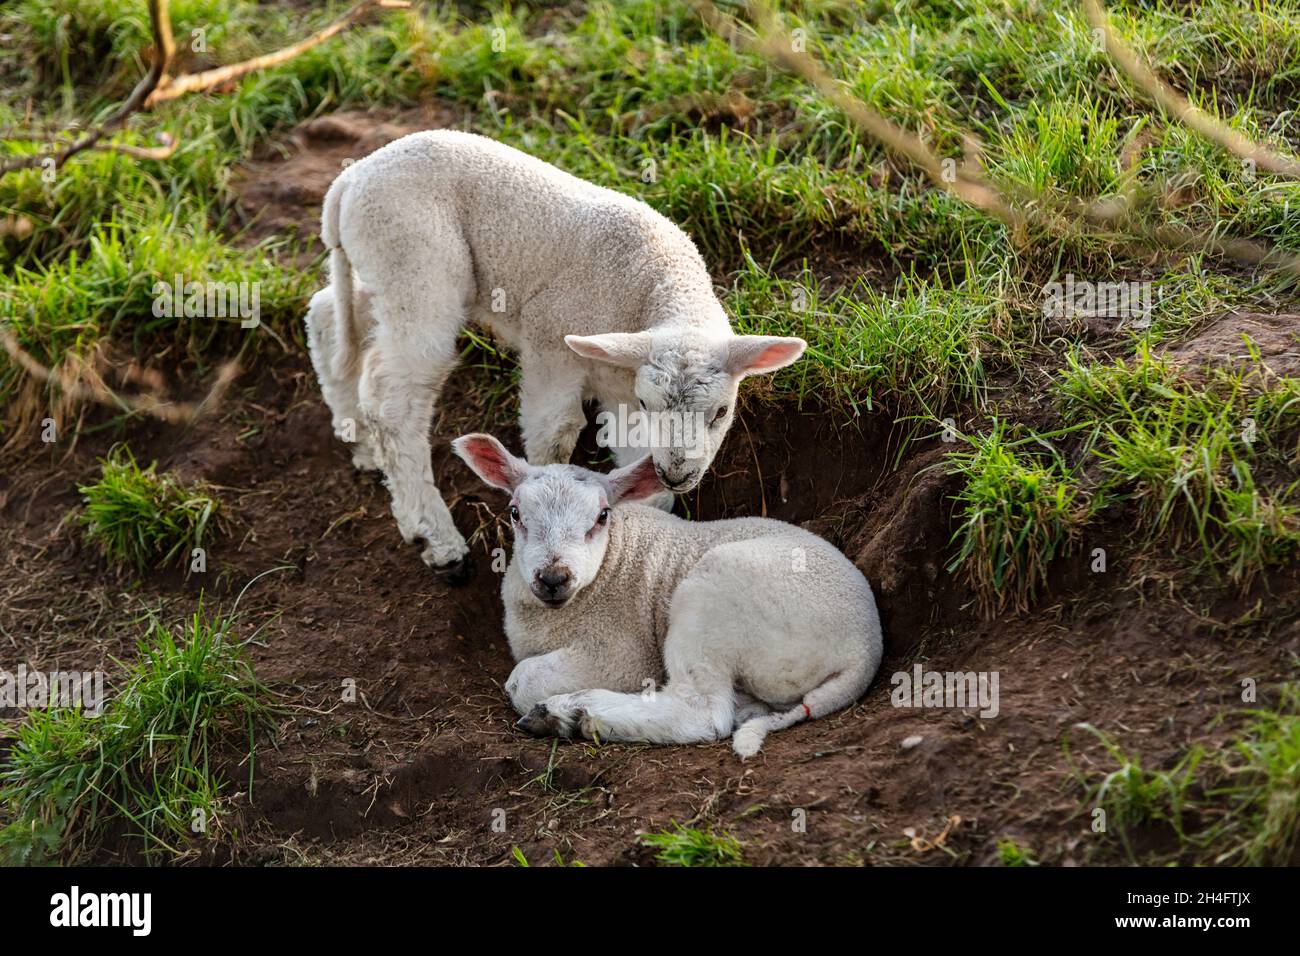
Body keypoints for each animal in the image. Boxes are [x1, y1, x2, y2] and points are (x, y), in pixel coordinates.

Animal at [306, 130, 806, 579]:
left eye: (721, 412)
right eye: (651, 405)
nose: (678, 473)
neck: (653, 284)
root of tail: (349, 180)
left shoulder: (620, 381)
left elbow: (638, 473)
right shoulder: (551, 340)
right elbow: (556, 432)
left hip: (381, 272)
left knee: (327, 314)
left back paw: (357, 436)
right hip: (413, 263)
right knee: (394, 400)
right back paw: (435, 537)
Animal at [451, 432, 884, 759]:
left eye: (602, 517)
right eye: (515, 513)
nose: (553, 578)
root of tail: (864, 650)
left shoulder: (621, 652)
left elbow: (522, 680)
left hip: (712, 597)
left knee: (702, 712)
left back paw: (572, 712)